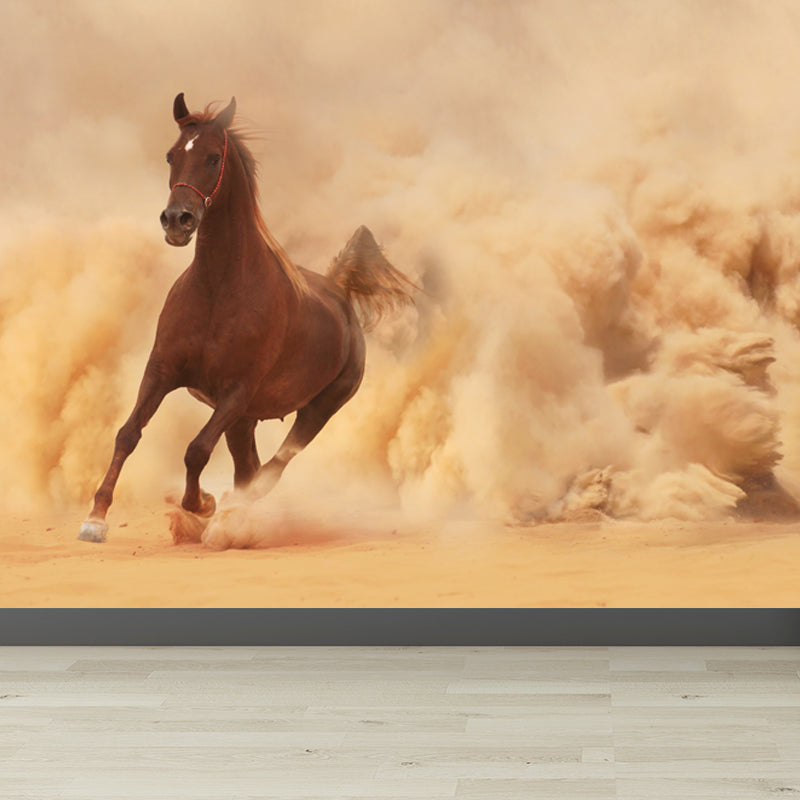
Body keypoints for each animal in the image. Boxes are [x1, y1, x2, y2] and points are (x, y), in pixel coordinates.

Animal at [79, 93, 414, 543]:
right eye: (171, 155)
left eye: (213, 157)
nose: (177, 220)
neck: (217, 290)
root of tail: (339, 291)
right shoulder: (162, 371)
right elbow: (128, 434)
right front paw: (95, 519)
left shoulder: (236, 391)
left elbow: (196, 450)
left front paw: (203, 504)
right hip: (246, 421)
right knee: (249, 467)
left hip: (318, 409)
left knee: (271, 470)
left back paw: (231, 517)